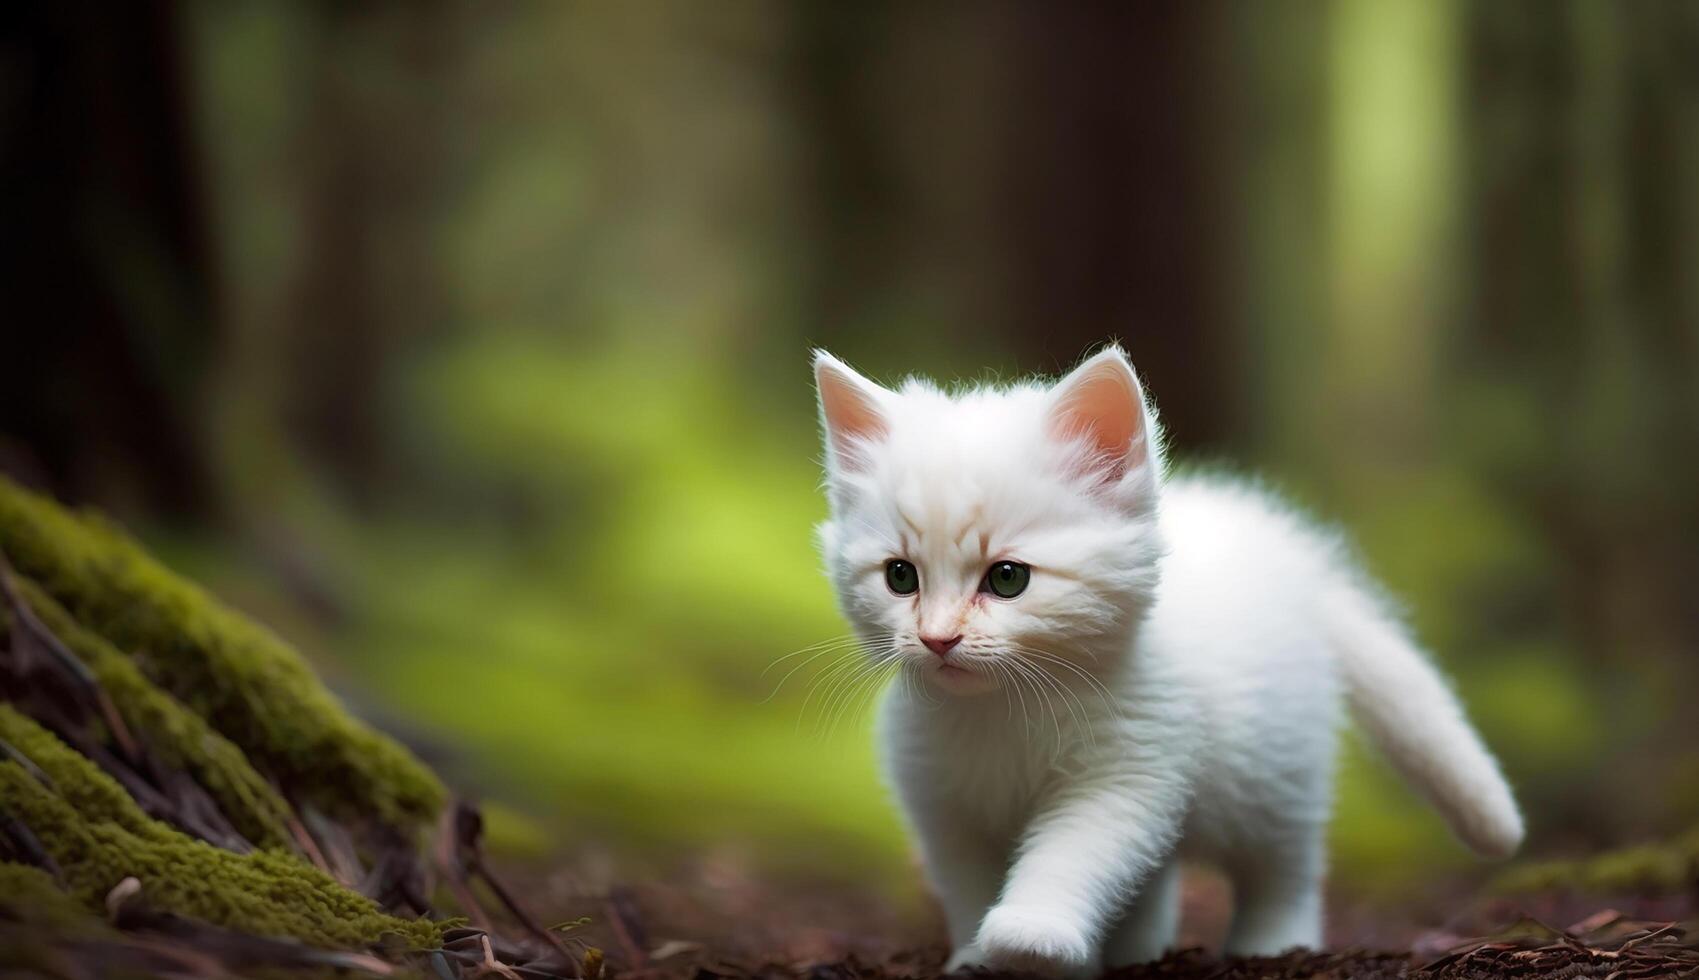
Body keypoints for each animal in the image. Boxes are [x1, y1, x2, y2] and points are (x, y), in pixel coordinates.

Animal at [808, 343, 1529, 971]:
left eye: (1007, 578)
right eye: (900, 577)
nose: (936, 638)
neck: (1003, 712)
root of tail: (1300, 559)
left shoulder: (1129, 767)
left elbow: (1073, 854)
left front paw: (1030, 937)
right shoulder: (940, 801)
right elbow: (966, 884)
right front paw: (976, 958)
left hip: (1275, 767)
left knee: (1285, 864)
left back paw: (1273, 943)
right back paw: (1140, 950)